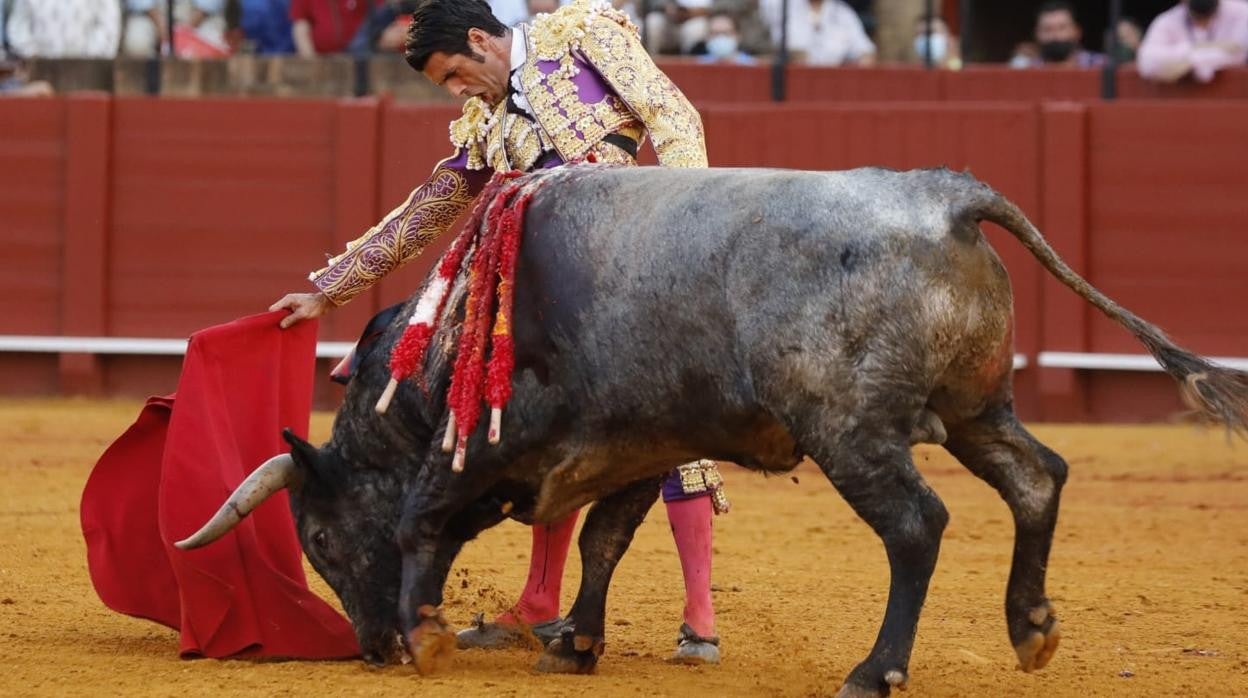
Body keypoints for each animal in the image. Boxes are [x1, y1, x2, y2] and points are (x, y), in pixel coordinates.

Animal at [175, 166, 1248, 694]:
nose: (367, 650)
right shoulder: (633, 444)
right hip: (978, 410)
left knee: (917, 526)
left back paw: (876, 670)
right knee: (1036, 478)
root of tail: (948, 196)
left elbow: (416, 523)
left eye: (318, 538)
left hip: (850, 429)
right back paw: (1030, 630)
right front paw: (570, 643)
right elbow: (603, 541)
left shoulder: (479, 445)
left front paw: (426, 633)